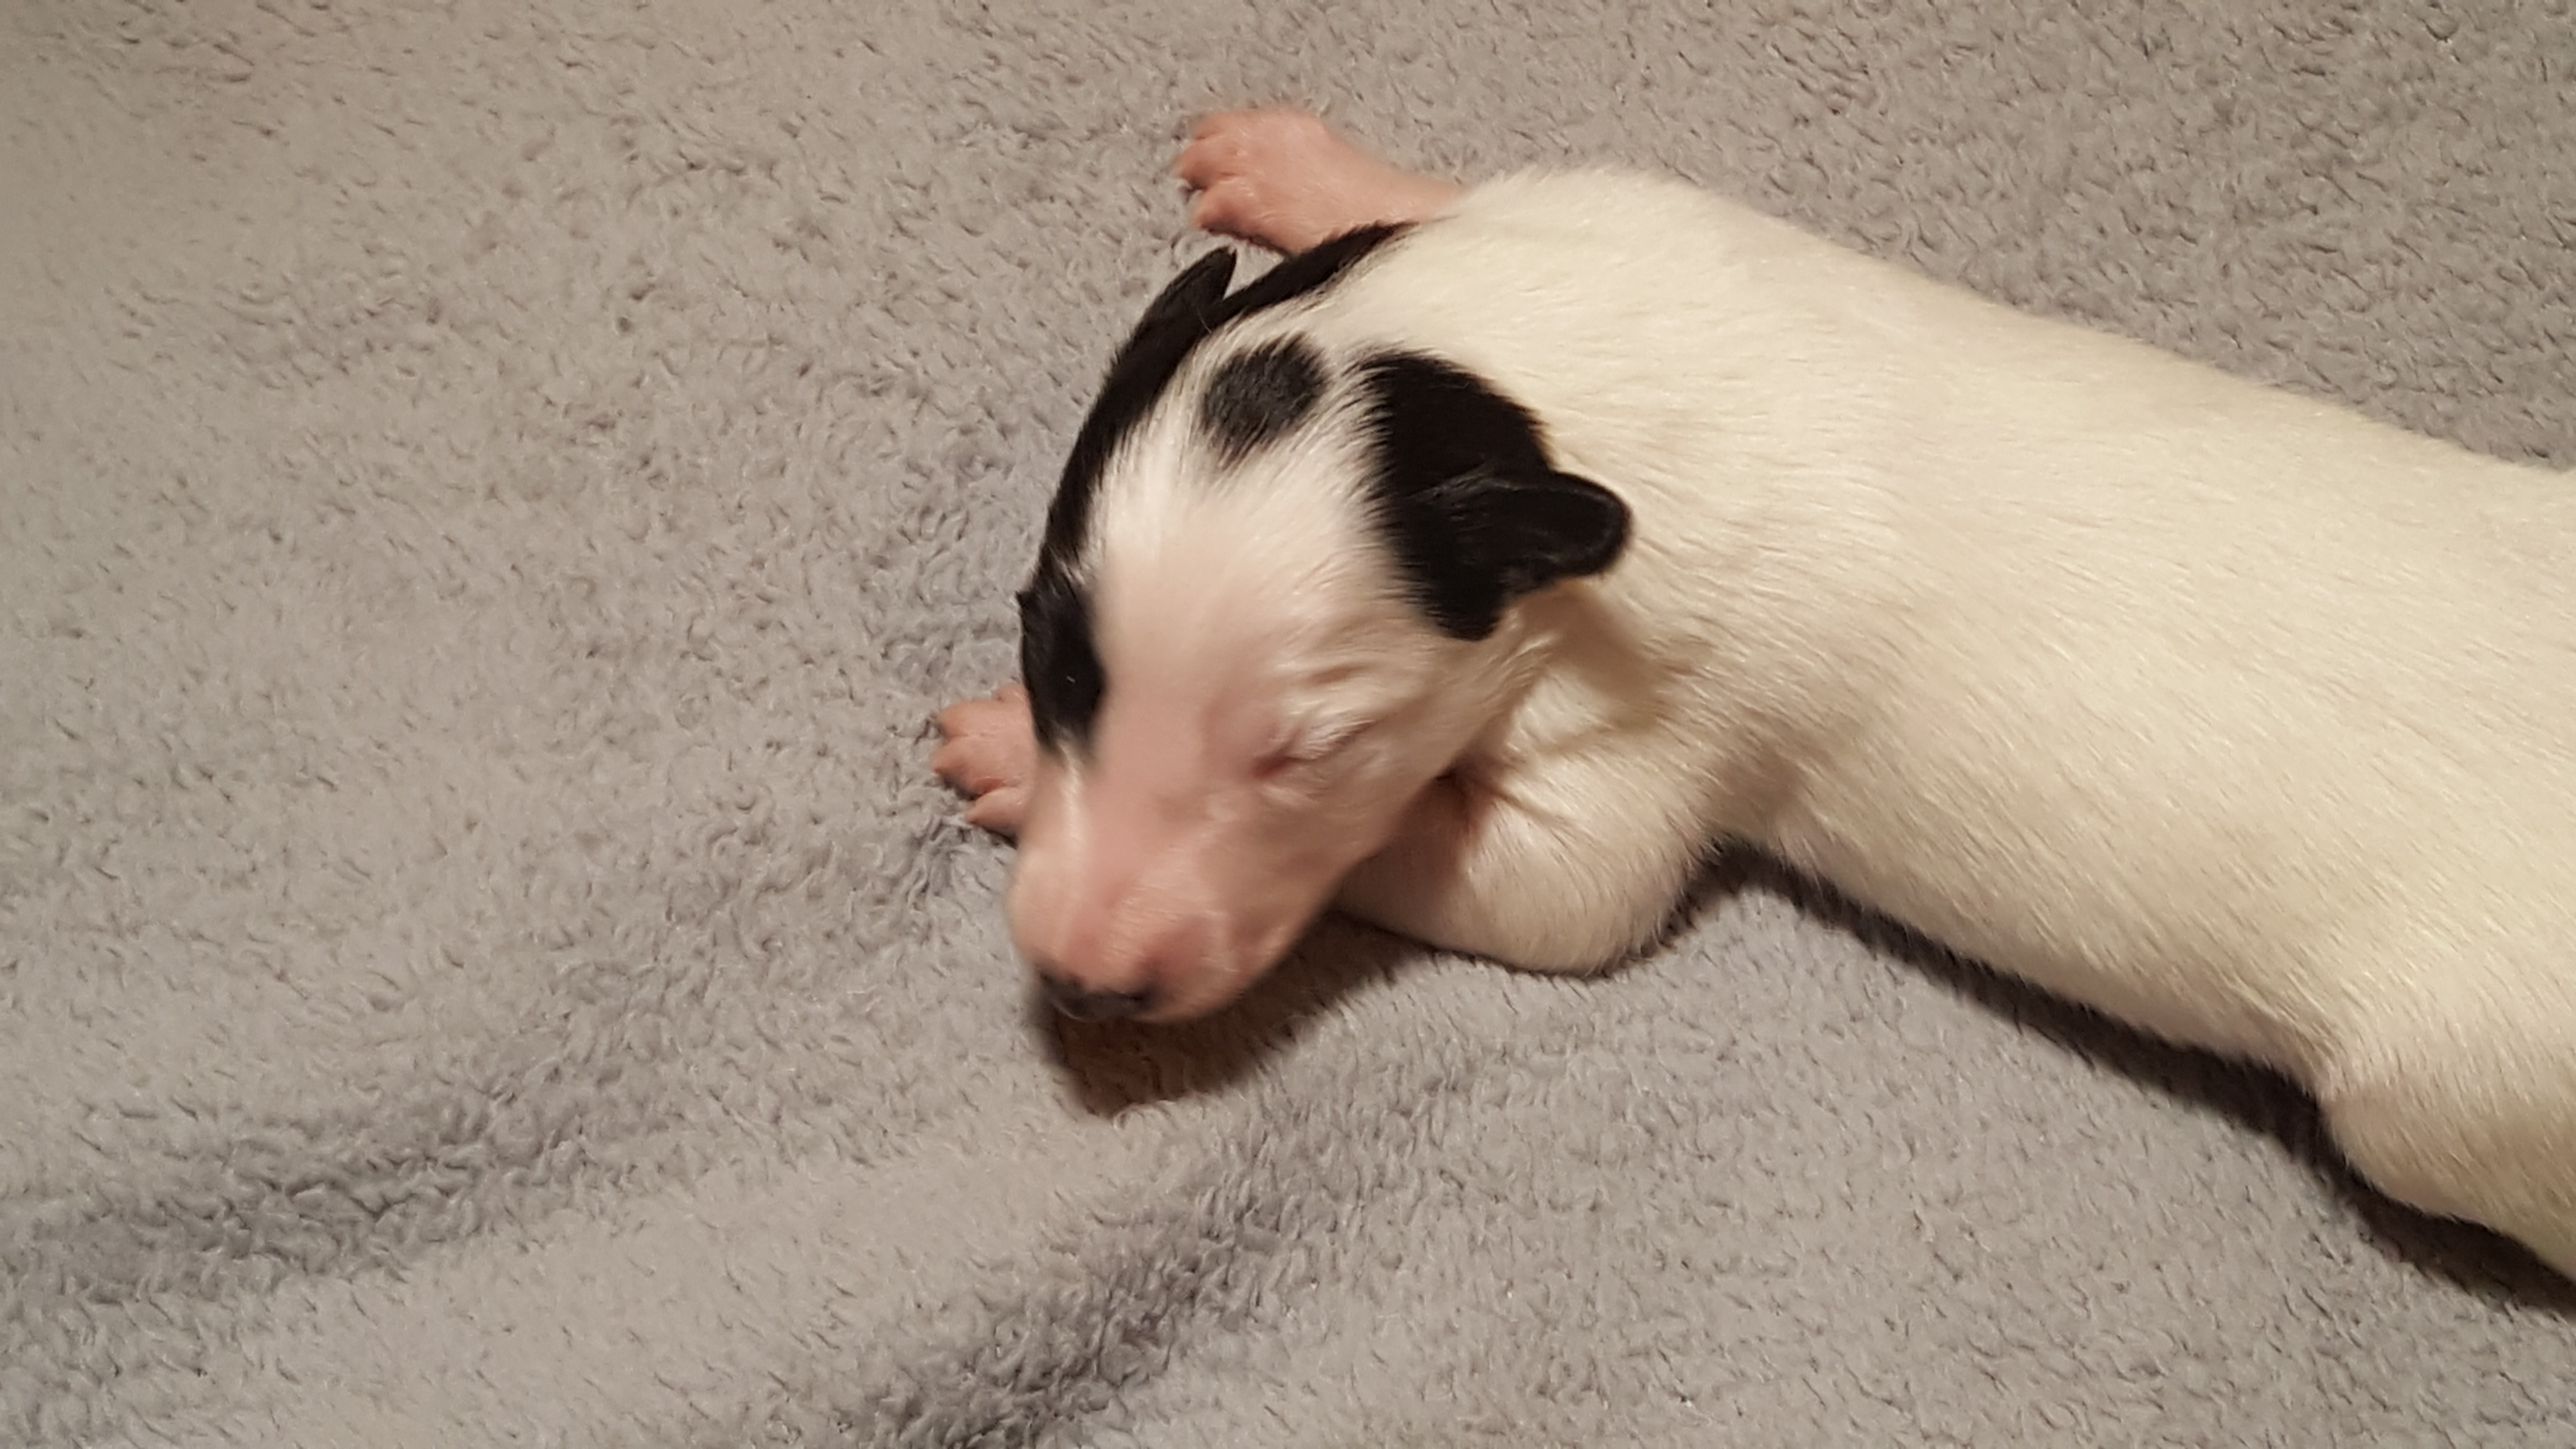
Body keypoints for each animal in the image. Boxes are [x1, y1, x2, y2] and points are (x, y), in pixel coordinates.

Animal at [933, 107, 2576, 1278]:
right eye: (1055, 648)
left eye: (1310, 752)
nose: (1085, 977)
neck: (1524, 399)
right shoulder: (1614, 220)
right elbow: (1436, 201)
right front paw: (1302, 165)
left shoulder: (1628, 750)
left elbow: (1537, 887)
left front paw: (1007, 762)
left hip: (2436, 1103)